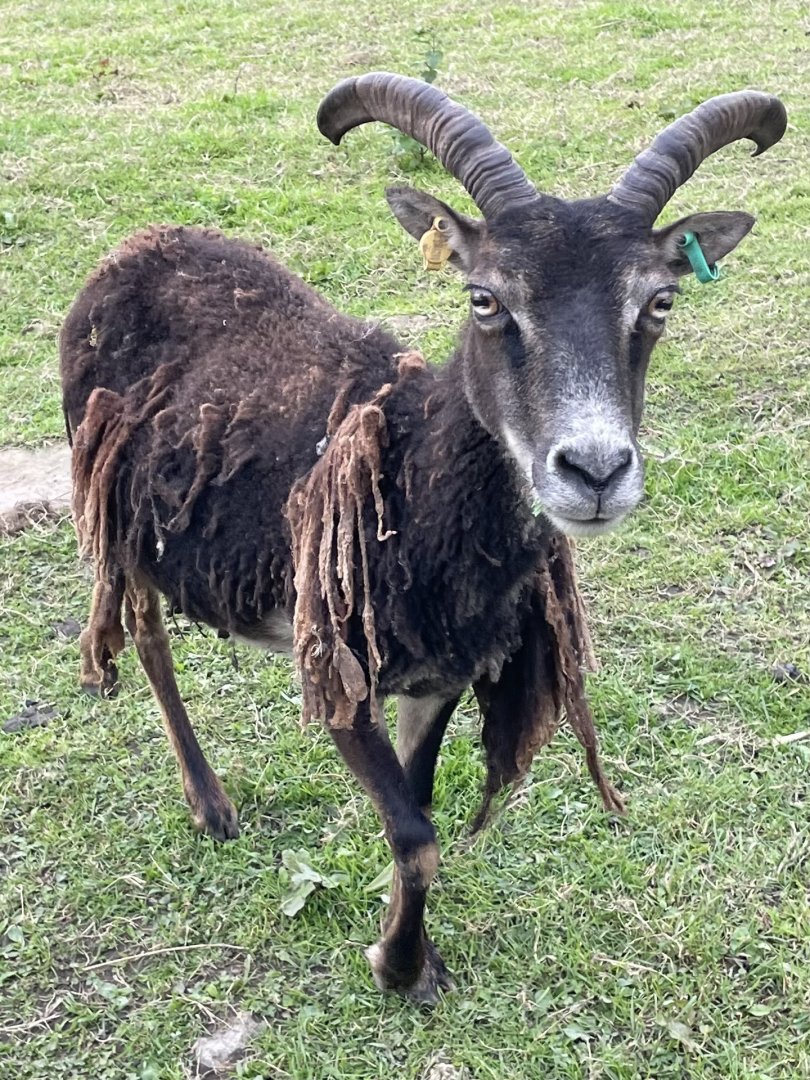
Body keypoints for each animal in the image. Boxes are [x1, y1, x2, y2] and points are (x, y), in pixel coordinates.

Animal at [60, 73, 786, 1001]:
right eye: (485, 299)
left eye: (660, 301)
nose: (594, 471)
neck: (413, 476)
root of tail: (130, 251)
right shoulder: (338, 673)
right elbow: (415, 837)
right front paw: (400, 968)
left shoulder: (440, 676)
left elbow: (421, 801)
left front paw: (407, 949)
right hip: (122, 519)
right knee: (147, 634)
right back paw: (211, 807)